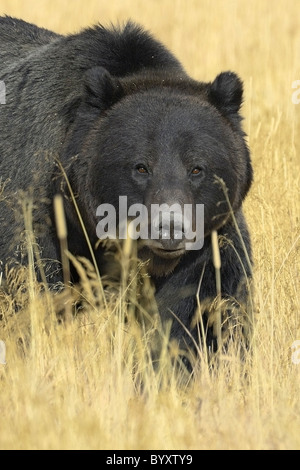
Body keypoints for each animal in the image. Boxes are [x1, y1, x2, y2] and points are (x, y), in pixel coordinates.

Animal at [0, 16, 253, 358]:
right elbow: (31, 285)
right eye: (141, 166)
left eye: (197, 168)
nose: (169, 229)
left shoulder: (211, 239)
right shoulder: (37, 207)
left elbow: (200, 307)